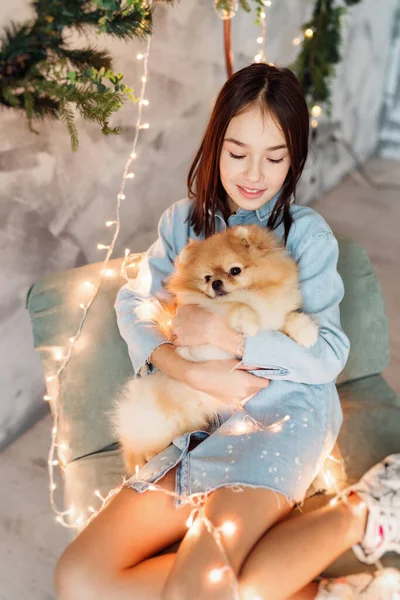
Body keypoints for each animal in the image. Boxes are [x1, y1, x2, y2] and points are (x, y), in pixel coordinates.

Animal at [111, 225, 318, 474]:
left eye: (235, 270)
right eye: (207, 278)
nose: (216, 283)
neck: (255, 295)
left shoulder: (275, 317)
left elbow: (289, 320)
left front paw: (307, 332)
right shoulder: (197, 346)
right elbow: (237, 308)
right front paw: (248, 322)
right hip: (160, 420)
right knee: (133, 446)